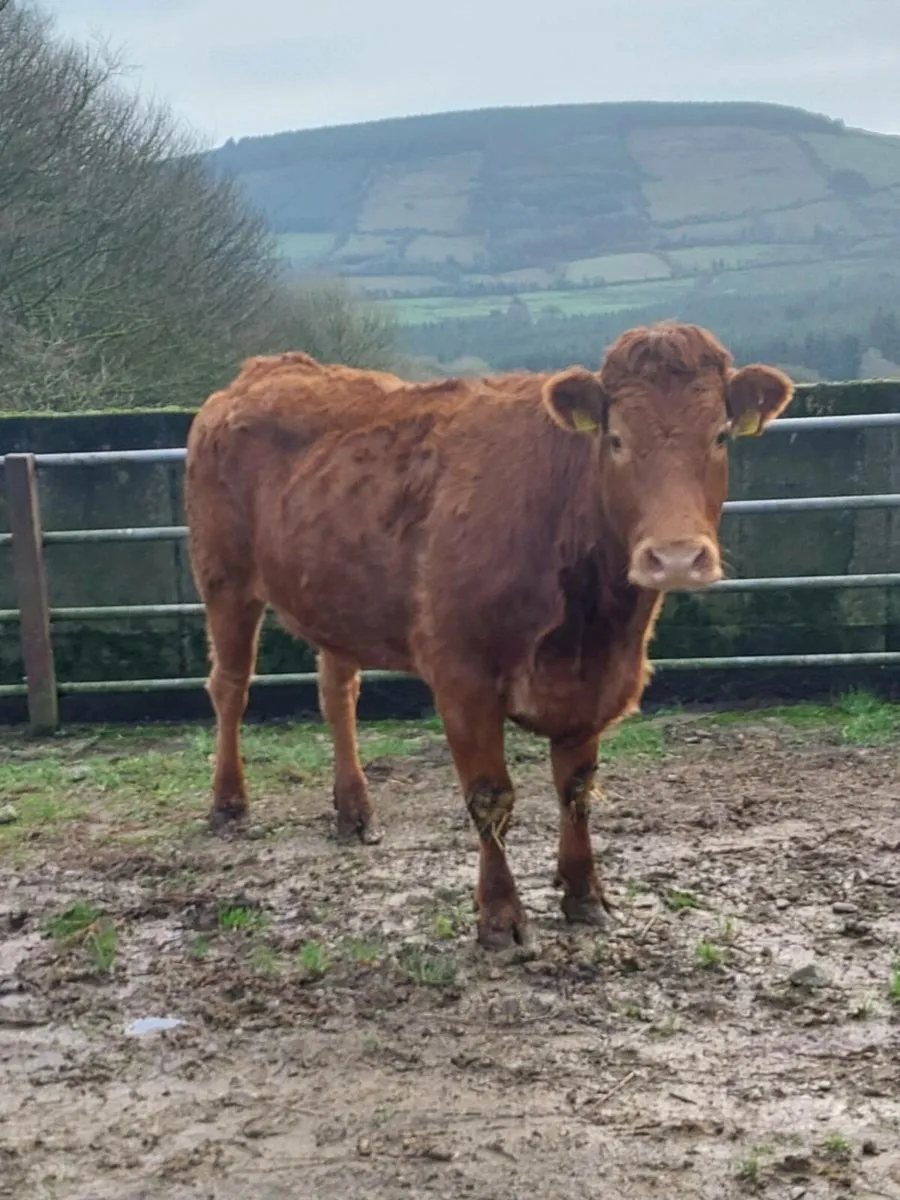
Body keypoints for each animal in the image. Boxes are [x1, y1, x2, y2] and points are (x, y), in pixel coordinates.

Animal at [184, 322, 793, 950]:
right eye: (617, 438)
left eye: (719, 436)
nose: (674, 557)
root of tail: (265, 368)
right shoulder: (463, 679)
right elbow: (490, 797)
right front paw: (500, 917)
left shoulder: (593, 683)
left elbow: (577, 790)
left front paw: (584, 894)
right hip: (224, 577)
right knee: (230, 685)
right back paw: (229, 806)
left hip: (333, 597)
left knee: (337, 694)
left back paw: (354, 812)